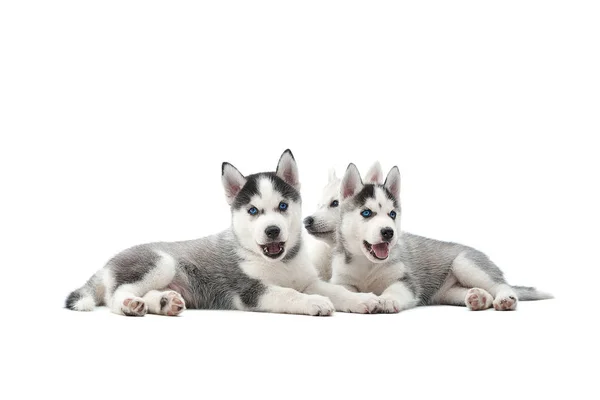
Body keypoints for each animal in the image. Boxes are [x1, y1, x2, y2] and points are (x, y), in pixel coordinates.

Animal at [65, 149, 382, 316]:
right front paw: (313, 302)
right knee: (116, 295)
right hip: (160, 262)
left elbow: (335, 289)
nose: (272, 230)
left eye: (282, 206)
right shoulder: (250, 291)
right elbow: (288, 294)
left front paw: (362, 300)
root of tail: (107, 264)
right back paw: (131, 304)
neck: (279, 262)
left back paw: (164, 302)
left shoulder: (308, 280)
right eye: (253, 211)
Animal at [328, 162, 552, 312]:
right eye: (366, 213)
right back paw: (479, 298)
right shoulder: (342, 281)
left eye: (392, 214)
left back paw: (506, 299)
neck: (367, 265)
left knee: (501, 285)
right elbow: (341, 291)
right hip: (449, 293)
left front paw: (387, 300)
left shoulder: (407, 281)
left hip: (465, 263)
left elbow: (396, 290)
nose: (388, 232)